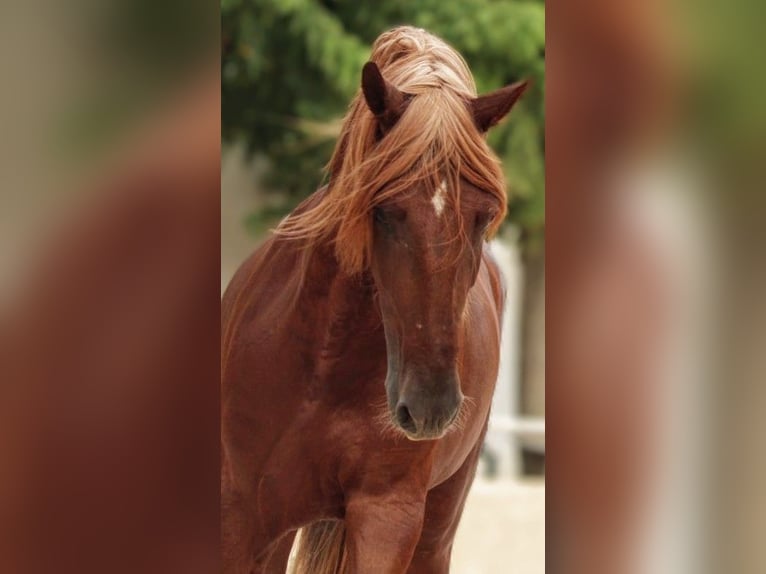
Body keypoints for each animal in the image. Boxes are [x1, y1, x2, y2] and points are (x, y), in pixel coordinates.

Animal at [221, 26, 528, 573]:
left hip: (437, 528)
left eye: (483, 215)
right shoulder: (241, 517)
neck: (321, 367)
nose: (430, 406)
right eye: (384, 212)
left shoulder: (388, 516)